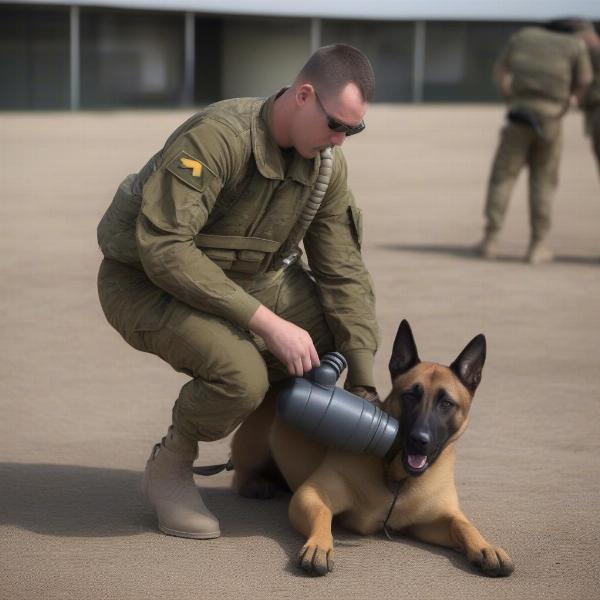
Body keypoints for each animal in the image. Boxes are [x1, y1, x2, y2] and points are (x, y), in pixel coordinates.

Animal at [232, 322, 512, 580]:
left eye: (446, 404)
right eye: (410, 396)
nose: (419, 439)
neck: (396, 477)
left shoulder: (432, 522)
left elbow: (462, 524)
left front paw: (485, 546)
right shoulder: (310, 495)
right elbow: (323, 513)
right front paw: (319, 544)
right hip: (257, 445)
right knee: (241, 473)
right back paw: (257, 484)